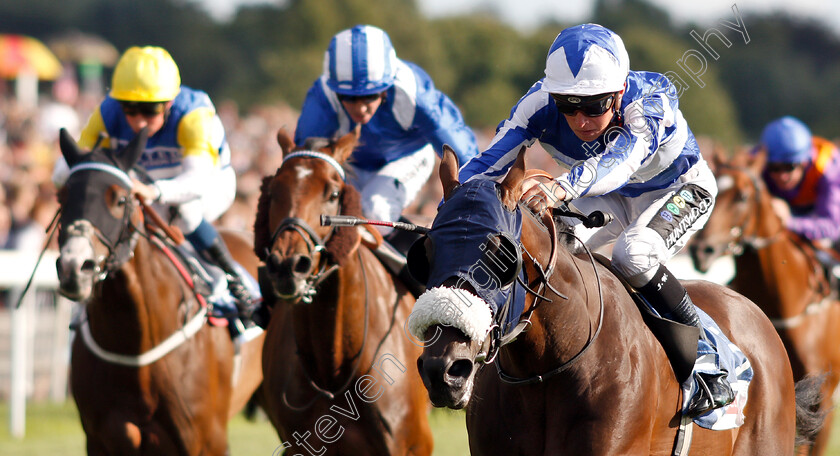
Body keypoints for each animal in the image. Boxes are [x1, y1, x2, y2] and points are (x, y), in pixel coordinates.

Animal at [55, 130, 264, 454]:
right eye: (62, 197)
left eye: (120, 199)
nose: (74, 268)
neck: (134, 346)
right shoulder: (100, 439)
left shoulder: (208, 440)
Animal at [256, 129, 434, 456]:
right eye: (273, 191)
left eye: (334, 194)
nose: (288, 265)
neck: (332, 364)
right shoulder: (300, 444)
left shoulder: (411, 443)